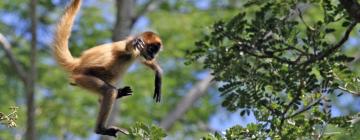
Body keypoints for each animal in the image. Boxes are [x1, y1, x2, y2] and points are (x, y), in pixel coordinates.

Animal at [52, 0, 163, 137]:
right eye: (152, 49)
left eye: (155, 51)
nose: (153, 55)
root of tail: (78, 63)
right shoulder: (132, 47)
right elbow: (128, 46)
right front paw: (134, 43)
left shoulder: (140, 53)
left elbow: (147, 62)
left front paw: (158, 73)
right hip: (82, 78)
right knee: (108, 91)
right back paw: (101, 129)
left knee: (104, 94)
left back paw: (116, 94)